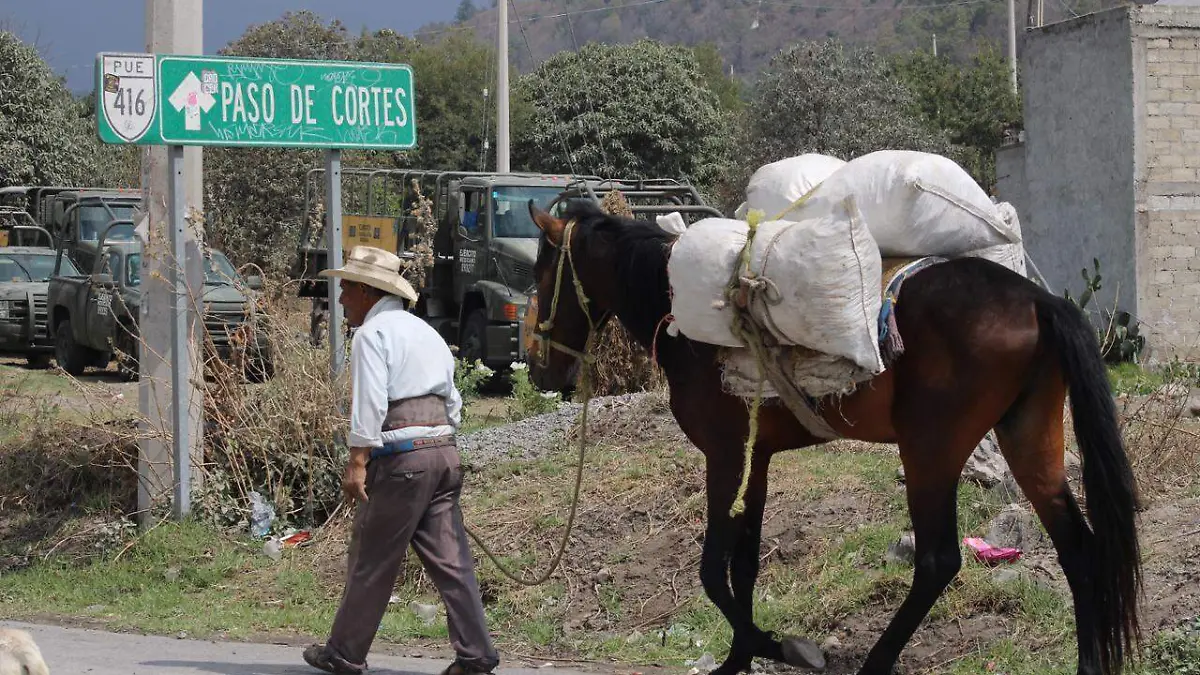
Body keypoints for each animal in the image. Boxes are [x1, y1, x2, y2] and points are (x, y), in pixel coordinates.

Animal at [525, 198, 1142, 672]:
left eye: (540, 274)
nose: (538, 371)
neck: (683, 322)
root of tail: (1040, 300)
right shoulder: (757, 458)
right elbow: (744, 566)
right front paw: (740, 658)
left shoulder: (725, 457)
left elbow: (712, 572)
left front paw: (778, 648)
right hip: (1028, 437)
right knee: (1077, 547)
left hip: (931, 451)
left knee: (938, 561)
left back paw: (875, 663)